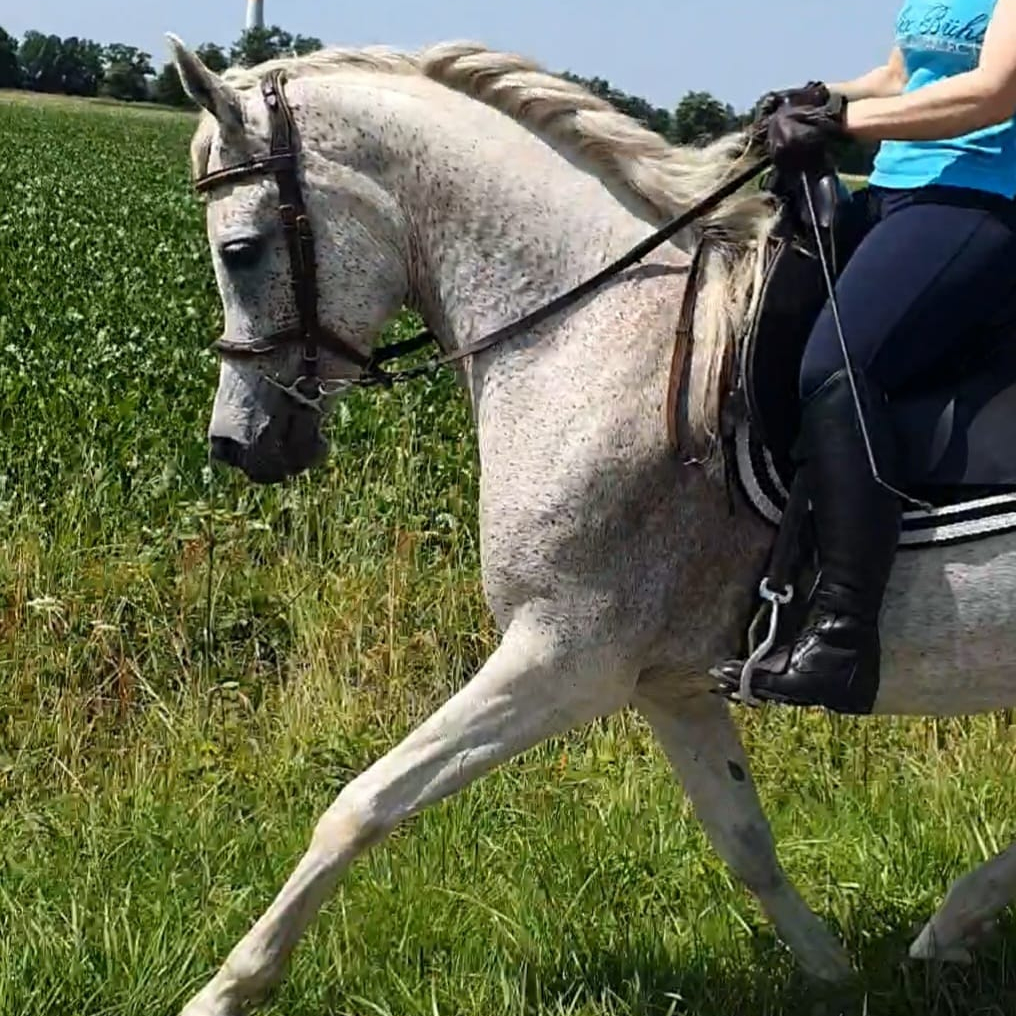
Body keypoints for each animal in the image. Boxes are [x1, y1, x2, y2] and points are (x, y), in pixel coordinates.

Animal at [167, 33, 1016, 1016]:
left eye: (240, 250)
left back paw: (955, 919)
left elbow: (361, 805)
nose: (236, 443)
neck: (591, 330)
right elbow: (744, 840)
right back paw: (953, 924)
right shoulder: (668, 684)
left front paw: (226, 988)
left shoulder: (565, 659)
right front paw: (835, 975)